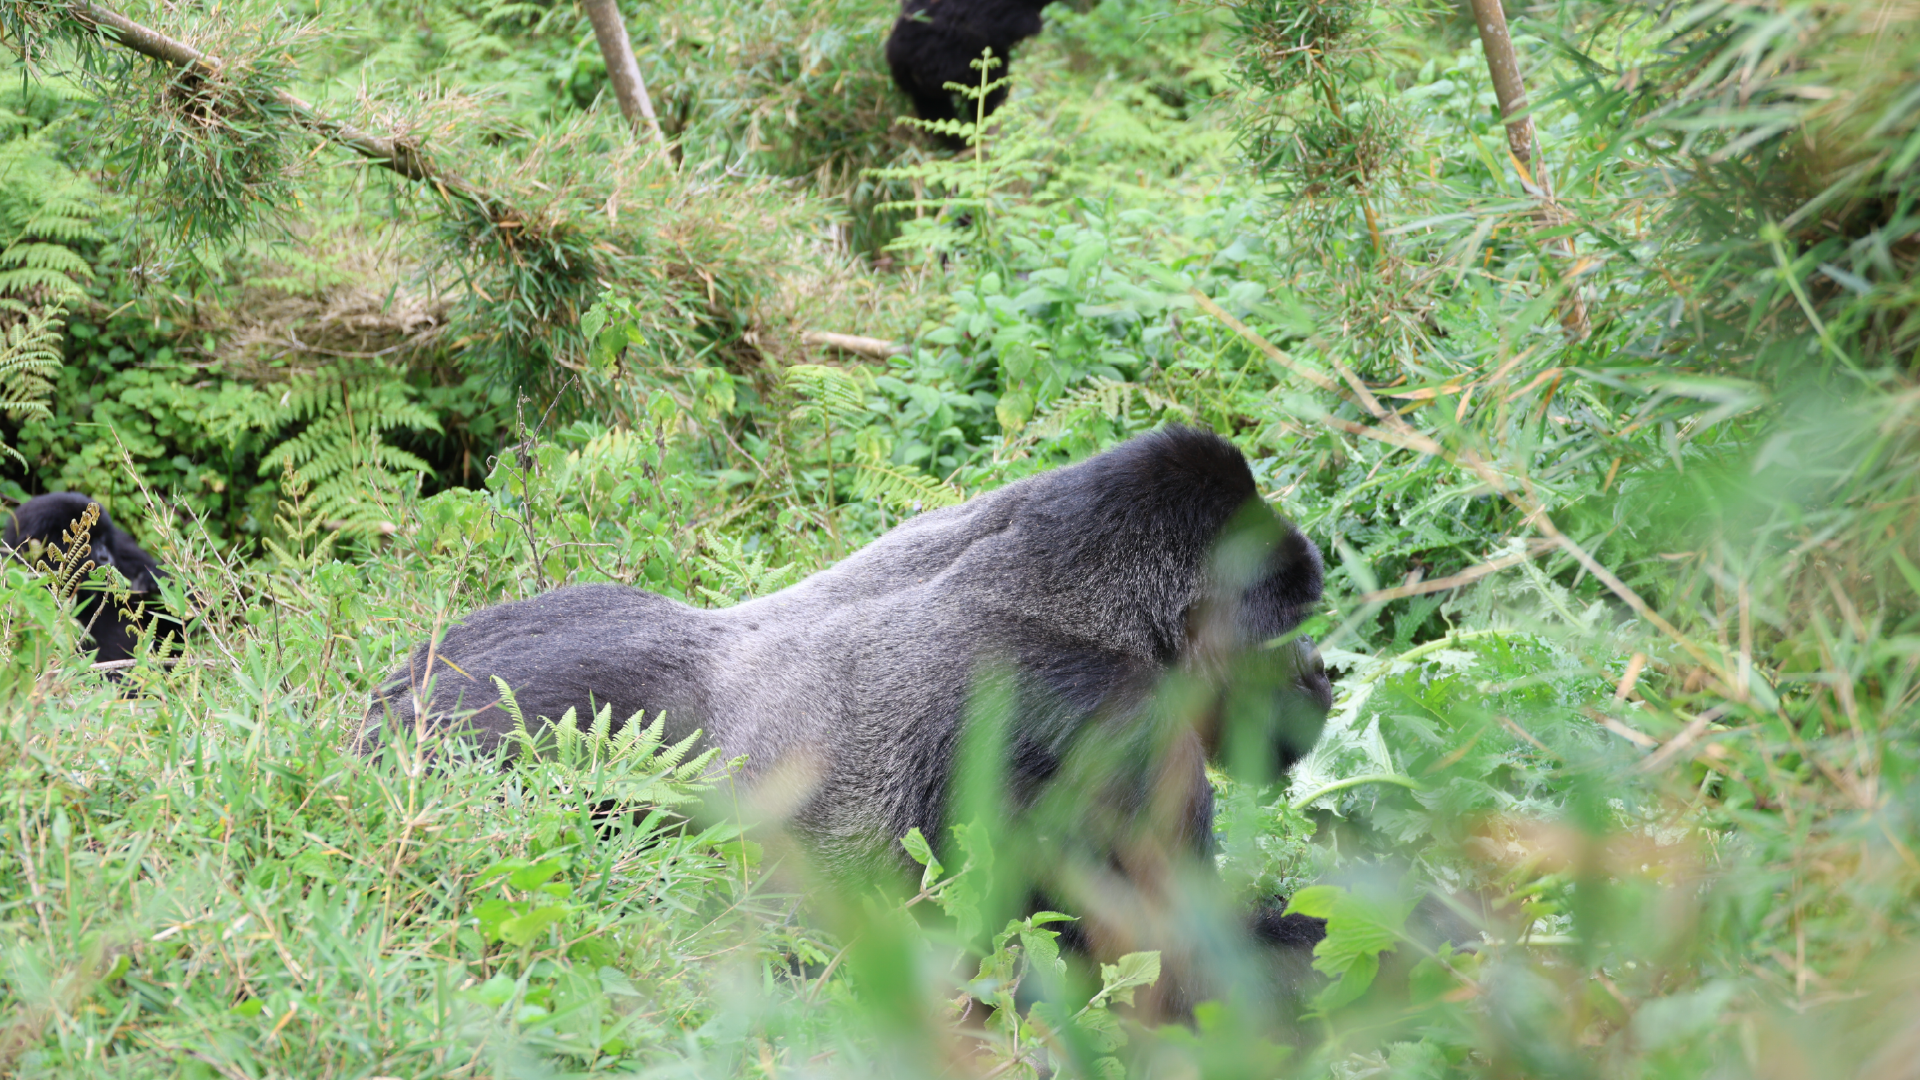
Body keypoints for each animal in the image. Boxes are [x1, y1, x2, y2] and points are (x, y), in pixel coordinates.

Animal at [363, 426, 1335, 1017]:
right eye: (1277, 629)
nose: (1317, 675)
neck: (1073, 590)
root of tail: (386, 708)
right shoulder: (1115, 726)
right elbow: (1180, 981)